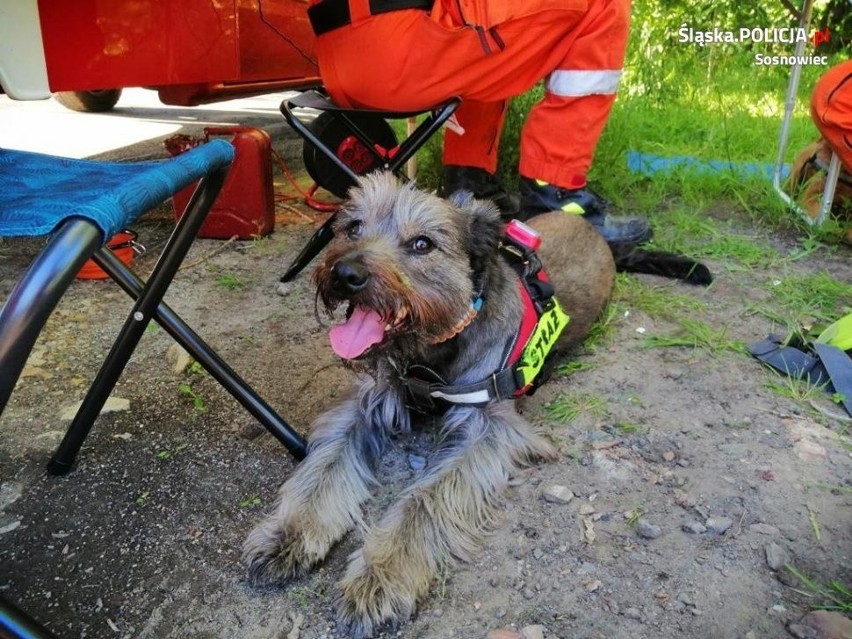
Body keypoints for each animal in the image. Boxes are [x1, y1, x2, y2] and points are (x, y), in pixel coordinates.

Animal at [243, 172, 616, 636]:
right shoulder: (365, 406)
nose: (345, 273)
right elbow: (322, 471)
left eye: (423, 243)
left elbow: (423, 500)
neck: (429, 357)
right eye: (353, 227)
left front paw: (381, 575)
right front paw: (289, 534)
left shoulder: (486, 431)